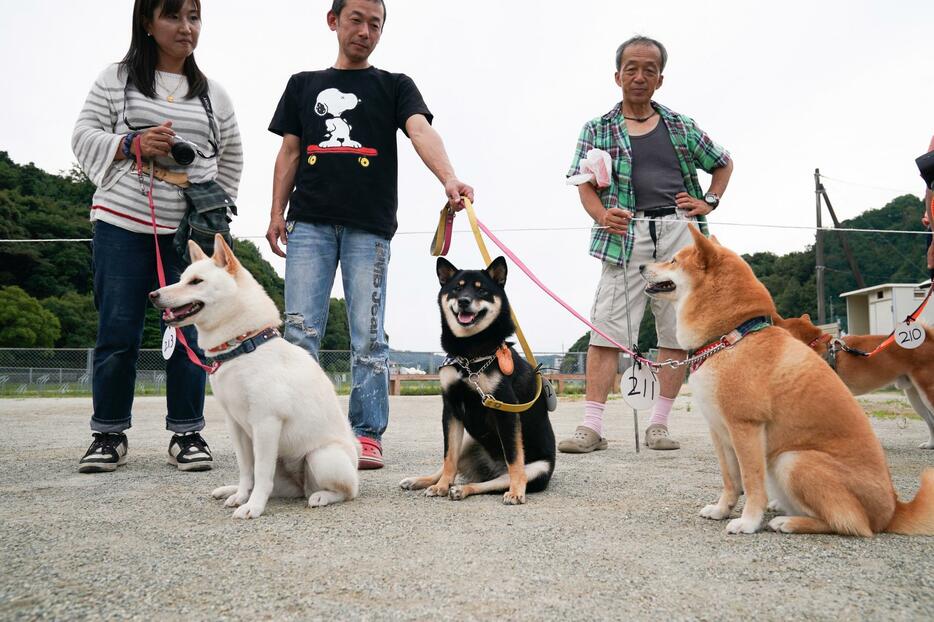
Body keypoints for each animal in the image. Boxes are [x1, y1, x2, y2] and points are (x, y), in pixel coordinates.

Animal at [152, 236, 360, 520]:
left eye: (196, 281)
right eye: (182, 278)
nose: (153, 295)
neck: (243, 346)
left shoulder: (266, 423)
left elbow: (261, 473)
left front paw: (253, 506)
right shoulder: (236, 425)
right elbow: (246, 470)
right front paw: (241, 496)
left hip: (322, 458)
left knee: (346, 491)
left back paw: (321, 496)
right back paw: (230, 490)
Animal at [396, 258, 556, 508]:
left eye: (482, 290)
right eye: (457, 288)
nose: (464, 301)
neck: (469, 355)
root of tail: (489, 469)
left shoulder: (506, 409)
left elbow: (514, 458)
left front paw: (517, 491)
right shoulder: (451, 408)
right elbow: (448, 457)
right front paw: (441, 486)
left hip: (536, 469)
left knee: (497, 480)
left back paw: (466, 489)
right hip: (469, 441)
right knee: (452, 468)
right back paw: (426, 481)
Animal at [644, 227, 934, 540]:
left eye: (673, 260)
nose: (641, 267)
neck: (731, 337)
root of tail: (893, 510)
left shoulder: (745, 427)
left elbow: (751, 482)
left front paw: (748, 522)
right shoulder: (719, 430)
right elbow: (731, 480)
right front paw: (722, 510)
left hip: (791, 460)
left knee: (851, 524)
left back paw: (789, 522)